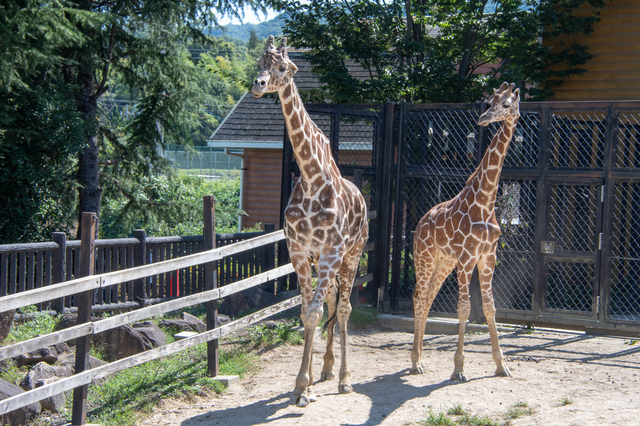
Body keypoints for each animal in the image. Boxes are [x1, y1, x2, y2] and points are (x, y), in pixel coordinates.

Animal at [251, 35, 370, 406]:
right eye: (258, 63)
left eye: (281, 67)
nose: (257, 85)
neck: (309, 176)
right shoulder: (299, 251)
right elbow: (306, 312)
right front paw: (301, 385)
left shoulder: (332, 251)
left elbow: (318, 312)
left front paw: (304, 386)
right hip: (326, 261)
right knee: (332, 301)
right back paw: (328, 369)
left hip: (351, 256)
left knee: (343, 308)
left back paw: (345, 379)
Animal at [410, 81, 520, 382]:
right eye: (490, 101)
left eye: (507, 104)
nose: (483, 118)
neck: (485, 201)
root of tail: (420, 223)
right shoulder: (467, 258)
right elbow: (464, 309)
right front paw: (458, 368)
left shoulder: (488, 258)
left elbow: (490, 307)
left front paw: (501, 365)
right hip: (424, 258)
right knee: (418, 297)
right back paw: (415, 361)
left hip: (443, 262)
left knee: (428, 298)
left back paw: (419, 358)